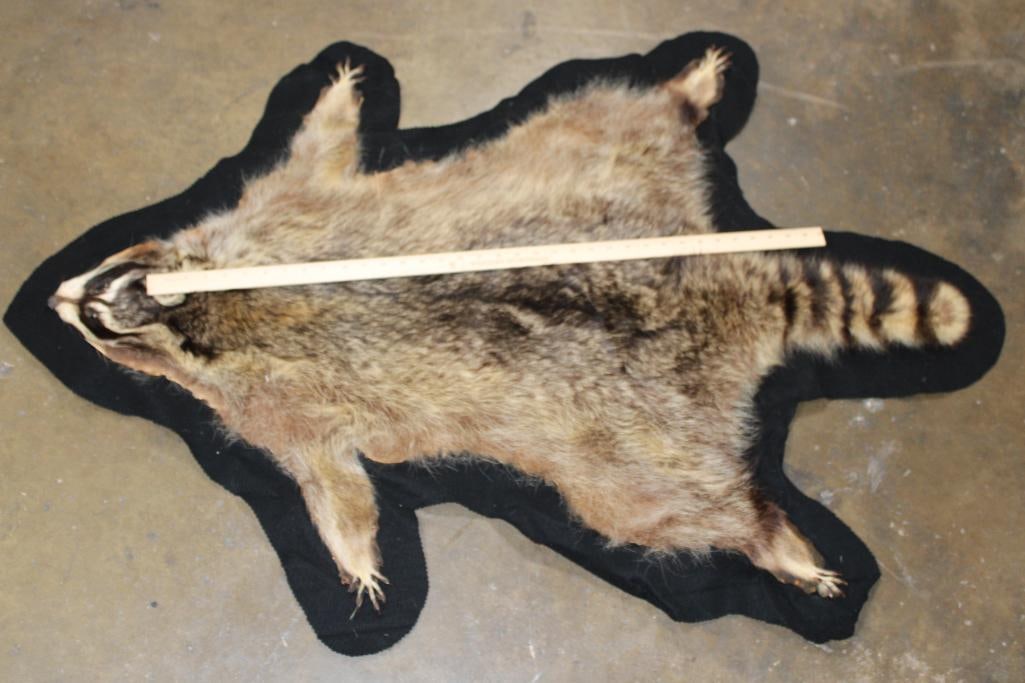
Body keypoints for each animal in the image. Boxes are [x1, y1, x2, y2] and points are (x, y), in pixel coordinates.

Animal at [51, 49, 970, 612]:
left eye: (98, 325)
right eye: (100, 289)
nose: (55, 297)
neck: (197, 302)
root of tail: (718, 284)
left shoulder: (275, 389)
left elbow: (334, 489)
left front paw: (356, 558)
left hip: (632, 459)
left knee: (667, 511)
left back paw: (767, 539)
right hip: (606, 160)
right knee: (626, 117)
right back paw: (683, 99)